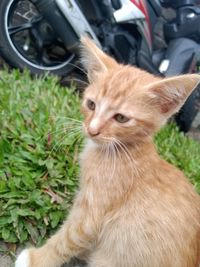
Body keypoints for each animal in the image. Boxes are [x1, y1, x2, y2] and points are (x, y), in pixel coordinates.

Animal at [15, 38, 200, 267]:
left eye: (121, 118)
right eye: (91, 104)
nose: (92, 129)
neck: (124, 150)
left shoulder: (90, 215)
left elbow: (67, 239)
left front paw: (34, 258)